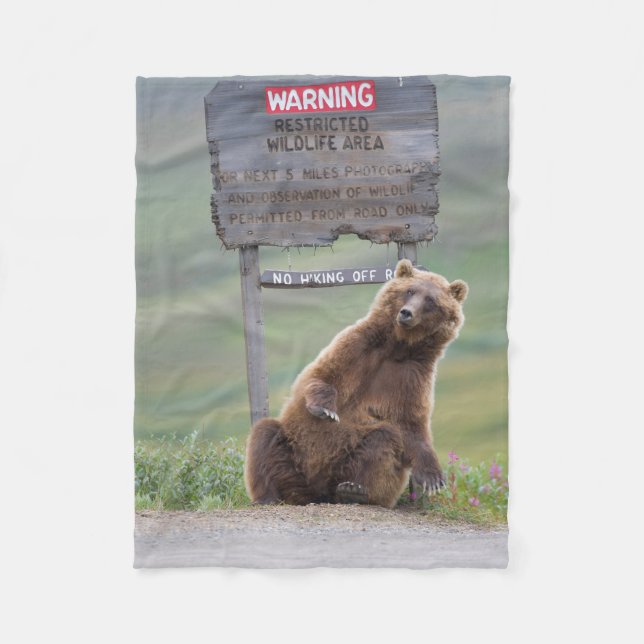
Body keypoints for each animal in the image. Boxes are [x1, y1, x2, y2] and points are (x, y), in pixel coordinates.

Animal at [244, 258, 468, 509]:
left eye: (431, 300)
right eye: (409, 290)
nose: (406, 313)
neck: (397, 346)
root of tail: (316, 494)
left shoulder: (411, 374)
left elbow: (411, 422)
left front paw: (433, 477)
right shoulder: (358, 346)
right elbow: (322, 375)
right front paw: (326, 409)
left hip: (346, 461)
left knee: (383, 440)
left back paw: (354, 490)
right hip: (293, 449)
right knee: (265, 436)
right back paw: (268, 496)